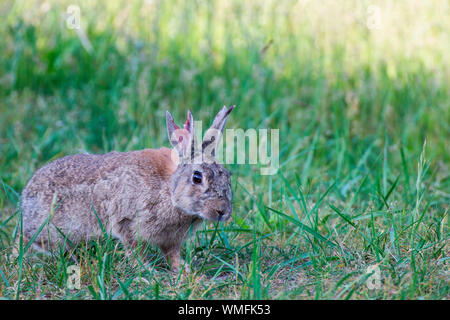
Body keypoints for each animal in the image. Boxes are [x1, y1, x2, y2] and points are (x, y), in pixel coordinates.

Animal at [16, 106, 236, 272]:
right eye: (197, 177)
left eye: (227, 175)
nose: (222, 212)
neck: (170, 192)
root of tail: (25, 201)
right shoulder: (128, 223)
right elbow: (134, 250)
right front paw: (147, 270)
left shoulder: (170, 240)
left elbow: (172, 254)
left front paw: (183, 269)